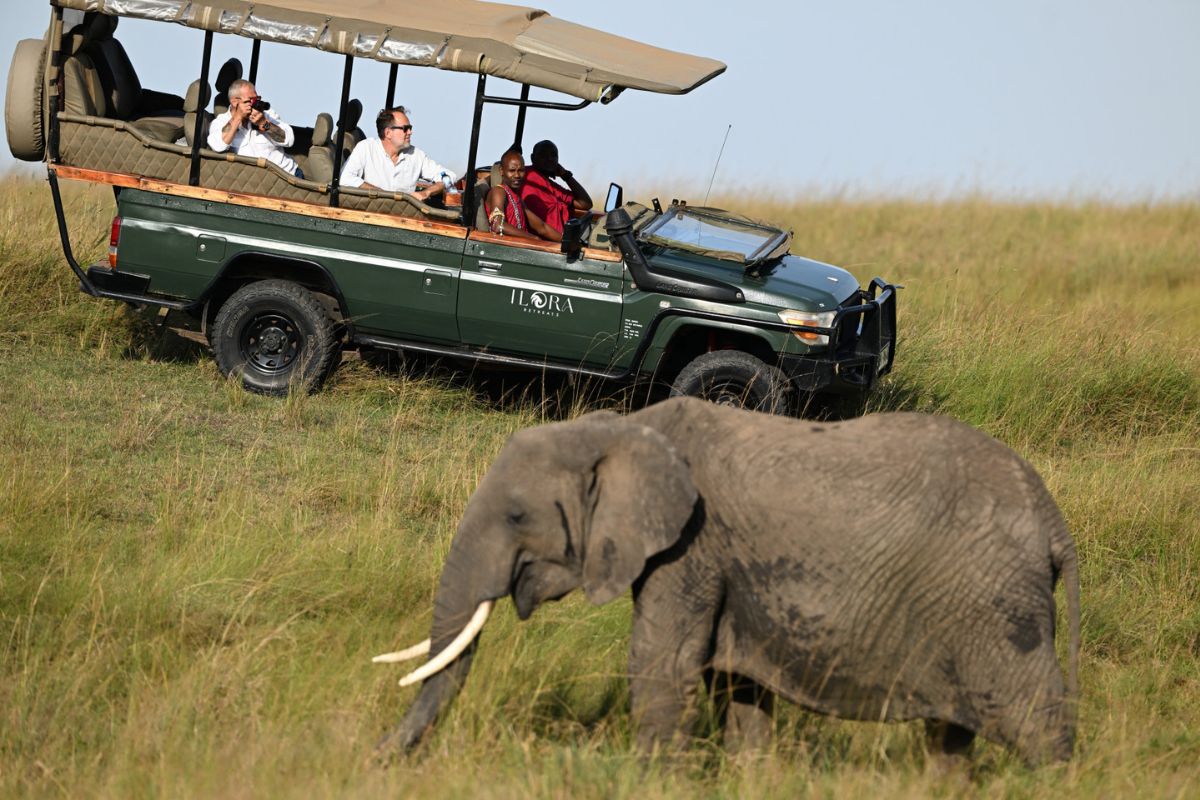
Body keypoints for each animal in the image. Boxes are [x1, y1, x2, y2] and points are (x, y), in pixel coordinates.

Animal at [374, 397, 1080, 765]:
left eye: (518, 516)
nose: (375, 752)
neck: (622, 426)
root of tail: (1052, 520)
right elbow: (736, 683)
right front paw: (751, 775)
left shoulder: (693, 545)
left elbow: (661, 662)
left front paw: (650, 778)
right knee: (951, 736)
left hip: (994, 602)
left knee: (1034, 716)